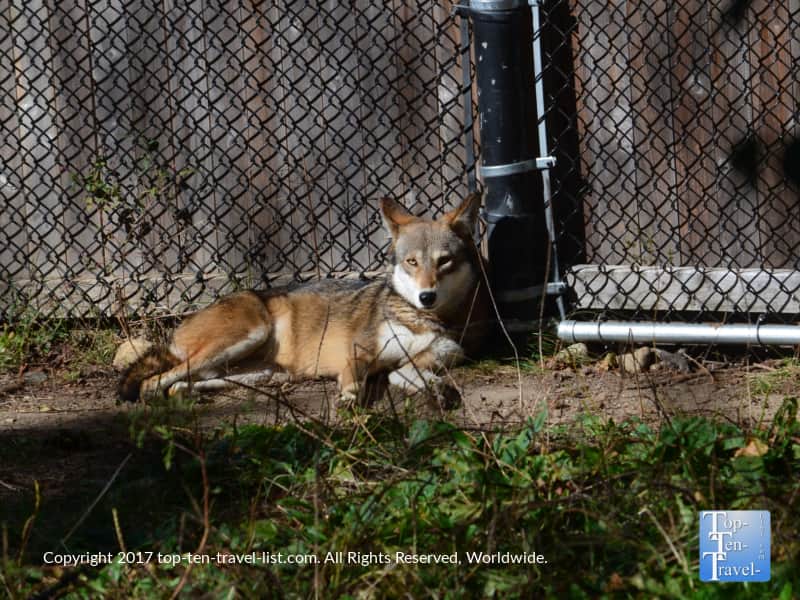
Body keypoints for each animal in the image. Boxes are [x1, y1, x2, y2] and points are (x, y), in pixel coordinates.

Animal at [118, 193, 488, 406]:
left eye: (444, 262)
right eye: (412, 262)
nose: (427, 296)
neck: (423, 320)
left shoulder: (418, 362)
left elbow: (415, 377)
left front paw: (438, 392)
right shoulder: (357, 352)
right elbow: (355, 382)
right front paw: (349, 400)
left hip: (263, 374)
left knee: (183, 382)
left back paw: (188, 394)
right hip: (247, 337)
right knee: (152, 382)